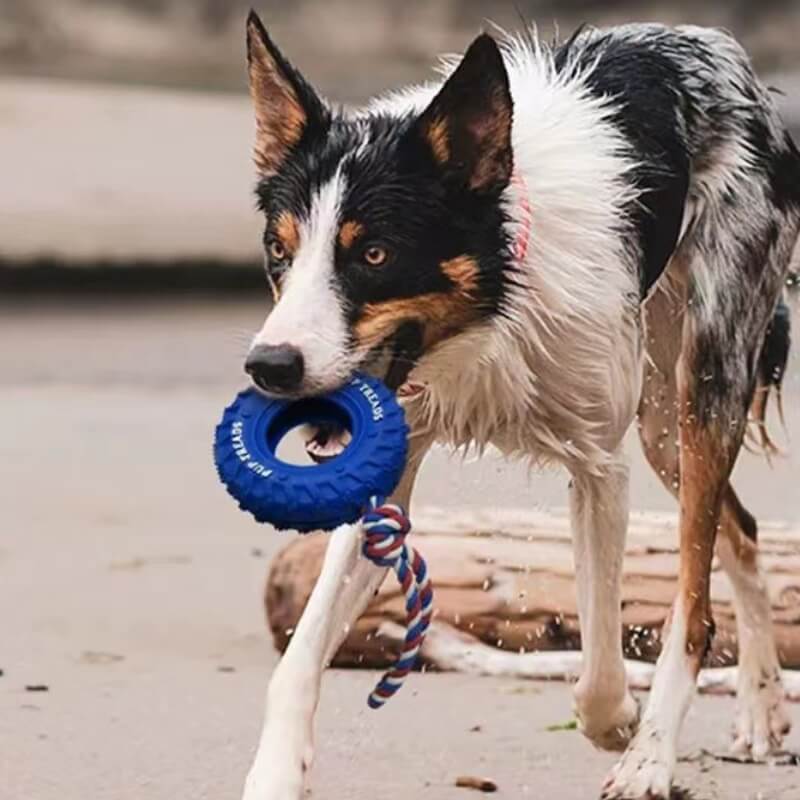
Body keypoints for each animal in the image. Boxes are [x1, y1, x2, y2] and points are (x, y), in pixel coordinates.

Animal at [239, 14, 800, 800]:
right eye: (278, 250)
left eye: (375, 256)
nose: (270, 365)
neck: (492, 307)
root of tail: (716, 46)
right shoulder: (385, 479)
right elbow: (295, 665)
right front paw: (275, 774)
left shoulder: (599, 471)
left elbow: (600, 671)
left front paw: (625, 732)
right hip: (663, 422)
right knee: (740, 530)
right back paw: (760, 704)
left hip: (705, 382)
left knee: (694, 594)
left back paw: (655, 753)